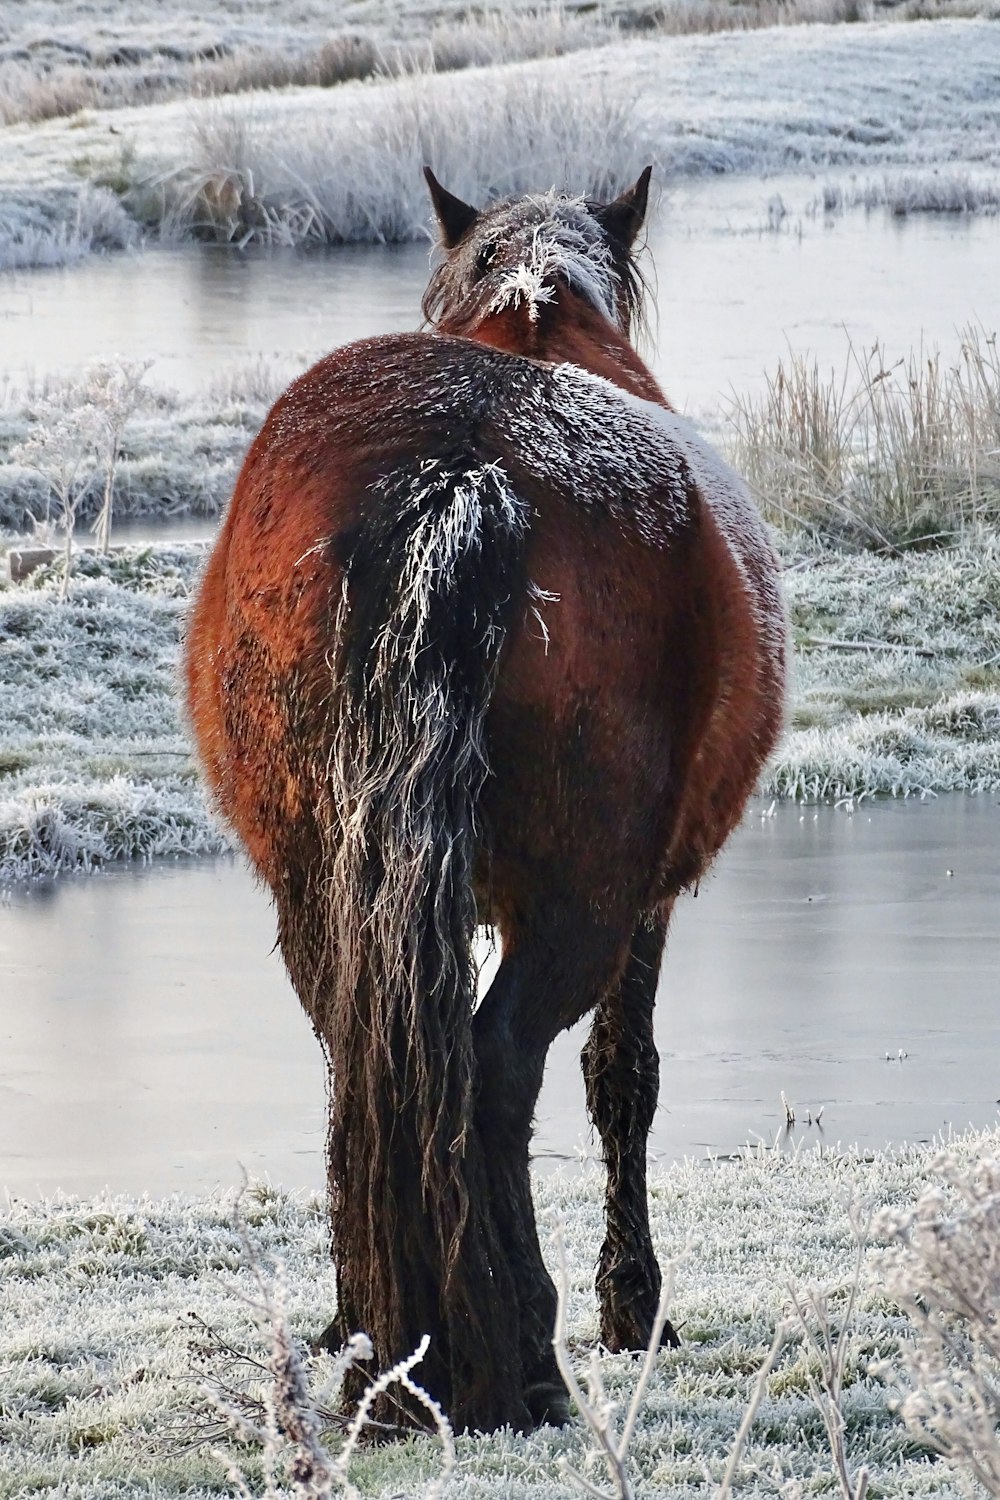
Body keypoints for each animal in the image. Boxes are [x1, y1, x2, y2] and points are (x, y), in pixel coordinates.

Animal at [183, 161, 785, 1428]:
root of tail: (461, 466)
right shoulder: (648, 902)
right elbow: (622, 1079)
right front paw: (632, 1305)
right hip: (581, 898)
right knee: (501, 1065)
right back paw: (525, 1355)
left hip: (322, 884)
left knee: (367, 1053)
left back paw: (391, 1341)